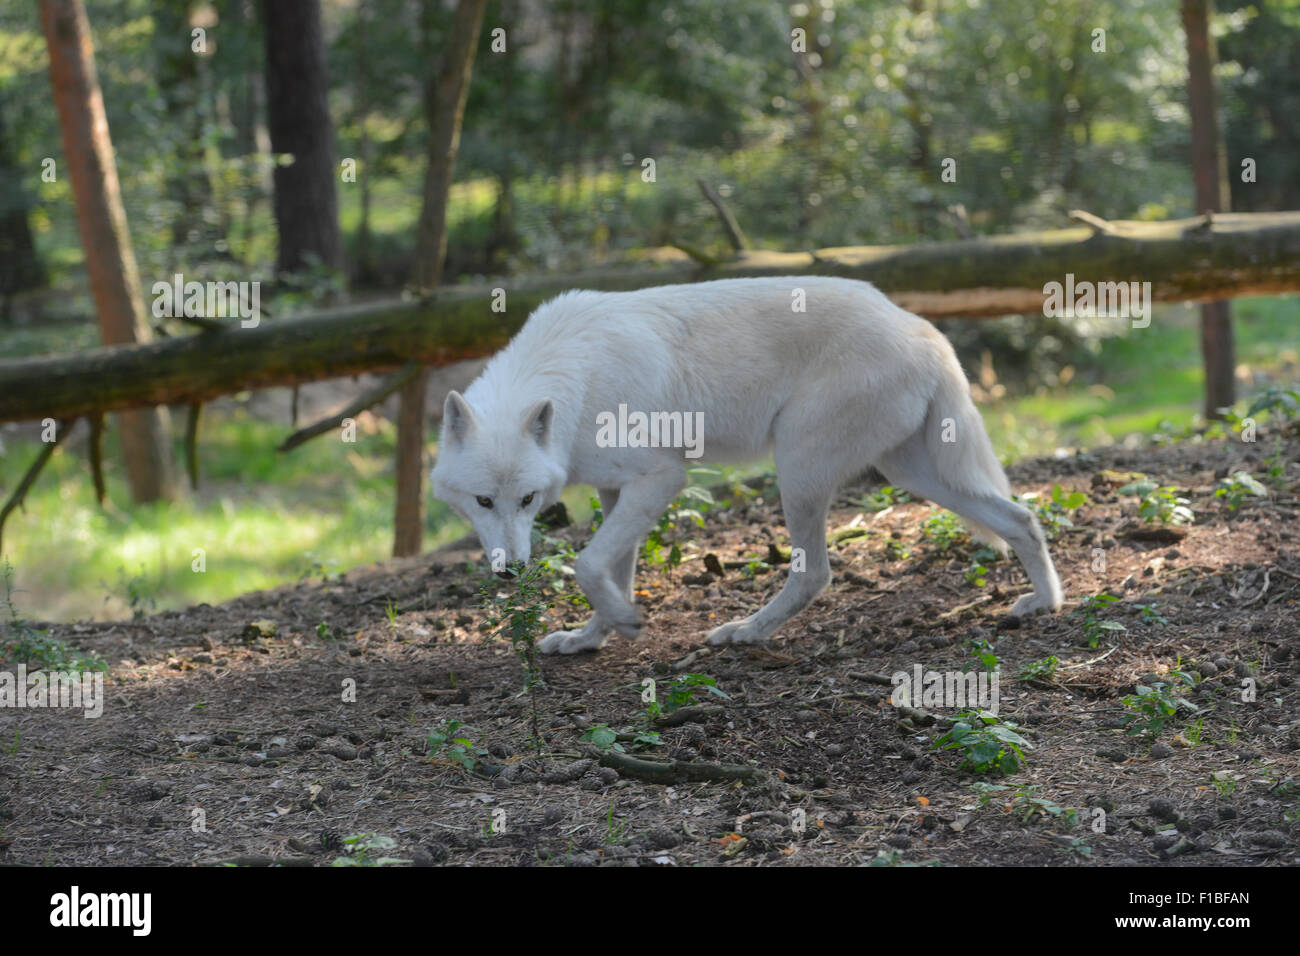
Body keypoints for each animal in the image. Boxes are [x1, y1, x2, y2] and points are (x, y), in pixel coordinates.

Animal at [431, 273, 1060, 655]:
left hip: (799, 468)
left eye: (528, 500)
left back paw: (748, 631)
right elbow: (613, 572)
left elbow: (587, 566)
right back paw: (1045, 604)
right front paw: (591, 638)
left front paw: (626, 624)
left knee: (815, 573)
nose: (510, 571)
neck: (572, 381)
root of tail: (922, 326)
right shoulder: (616, 492)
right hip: (914, 474)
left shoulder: (662, 477)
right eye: (483, 501)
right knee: (1022, 519)